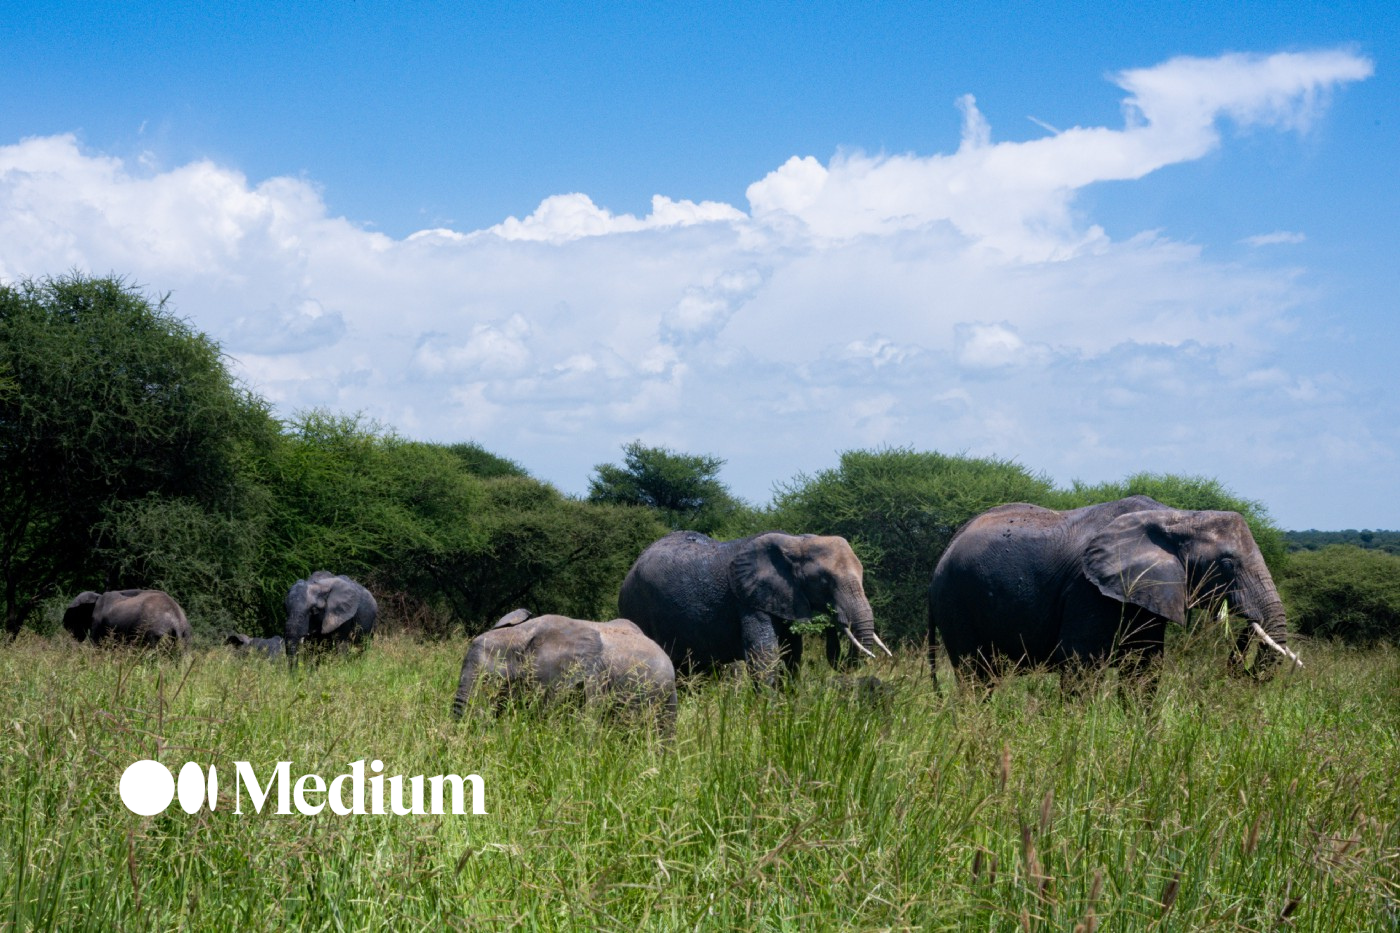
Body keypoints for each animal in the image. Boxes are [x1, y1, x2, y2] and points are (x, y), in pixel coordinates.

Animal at [618, 529, 890, 683]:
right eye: (824, 581)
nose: (835, 618)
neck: (796, 542)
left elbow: (792, 655)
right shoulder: (747, 599)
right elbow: (764, 655)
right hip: (637, 606)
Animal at [929, 493, 1299, 689]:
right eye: (1226, 564)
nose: (1245, 626)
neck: (1177, 517)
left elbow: (1143, 672)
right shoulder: (1088, 591)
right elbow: (1080, 666)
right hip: (955, 601)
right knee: (975, 676)